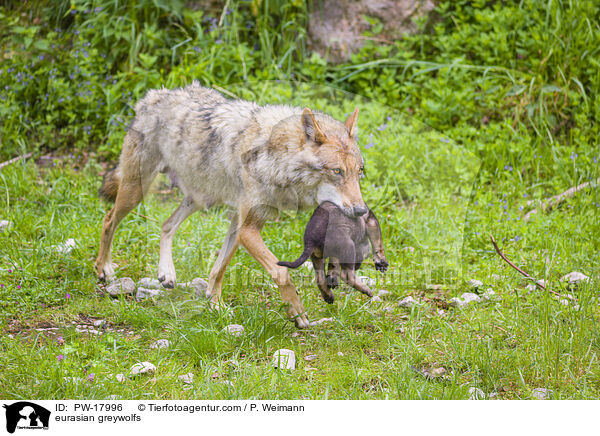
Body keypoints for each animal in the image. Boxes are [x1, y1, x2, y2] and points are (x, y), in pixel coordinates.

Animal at [95, 81, 366, 328]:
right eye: (336, 171)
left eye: (359, 172)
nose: (362, 210)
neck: (275, 157)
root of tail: (154, 96)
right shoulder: (248, 230)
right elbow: (282, 272)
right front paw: (297, 311)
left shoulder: (239, 224)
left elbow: (219, 268)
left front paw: (216, 305)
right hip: (135, 193)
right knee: (108, 220)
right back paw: (103, 269)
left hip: (198, 199)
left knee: (166, 225)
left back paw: (166, 273)